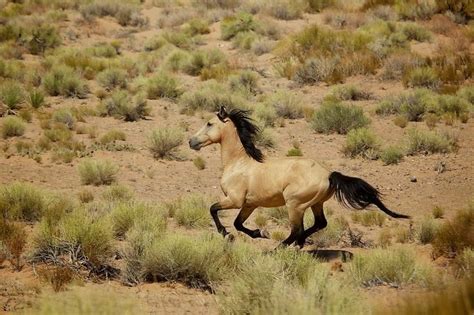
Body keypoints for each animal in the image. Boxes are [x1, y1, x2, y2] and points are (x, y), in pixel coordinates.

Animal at [188, 107, 408, 248]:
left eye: (209, 123)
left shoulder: (234, 200)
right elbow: (238, 224)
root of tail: (329, 175)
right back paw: (298, 245)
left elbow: (213, 209)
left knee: (296, 230)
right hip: (314, 204)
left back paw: (280, 248)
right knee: (319, 224)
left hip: (294, 205)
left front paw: (227, 235)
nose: (191, 141)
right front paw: (259, 233)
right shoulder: (249, 204)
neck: (239, 163)